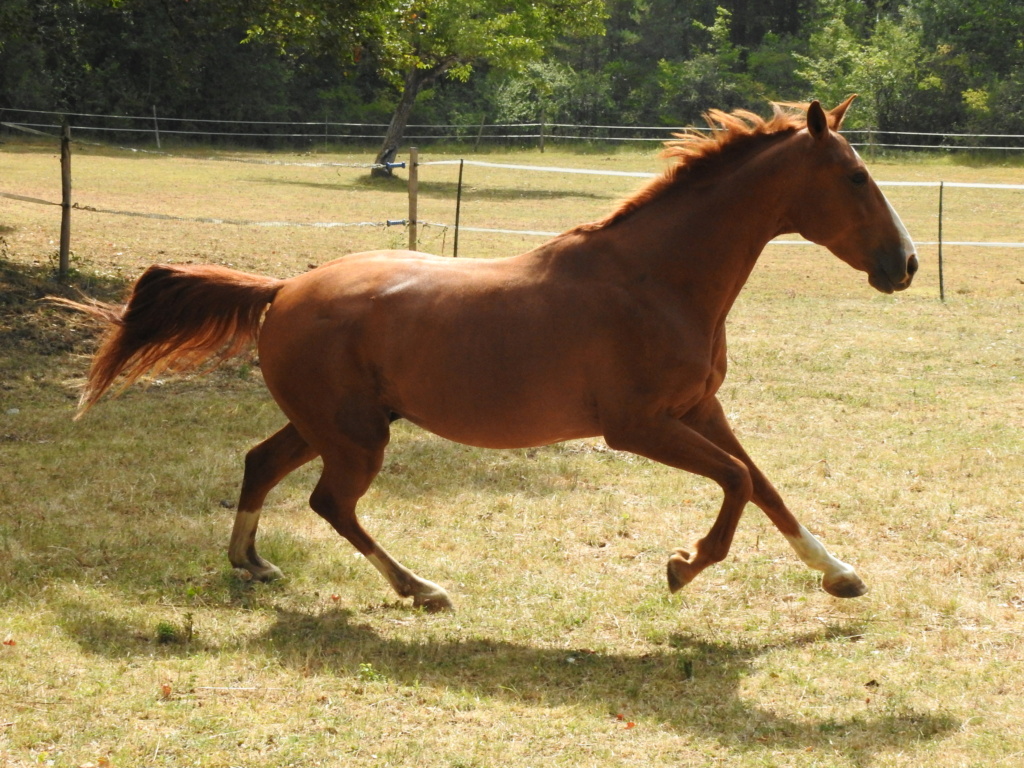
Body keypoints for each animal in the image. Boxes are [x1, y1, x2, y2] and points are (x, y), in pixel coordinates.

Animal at [59, 99, 917, 614]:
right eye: (854, 176)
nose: (905, 265)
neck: (656, 279)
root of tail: (284, 288)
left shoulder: (699, 408)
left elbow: (765, 485)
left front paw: (839, 574)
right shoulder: (638, 427)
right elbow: (738, 482)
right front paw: (683, 565)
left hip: (327, 425)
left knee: (259, 464)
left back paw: (253, 564)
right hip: (357, 438)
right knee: (331, 504)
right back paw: (421, 588)